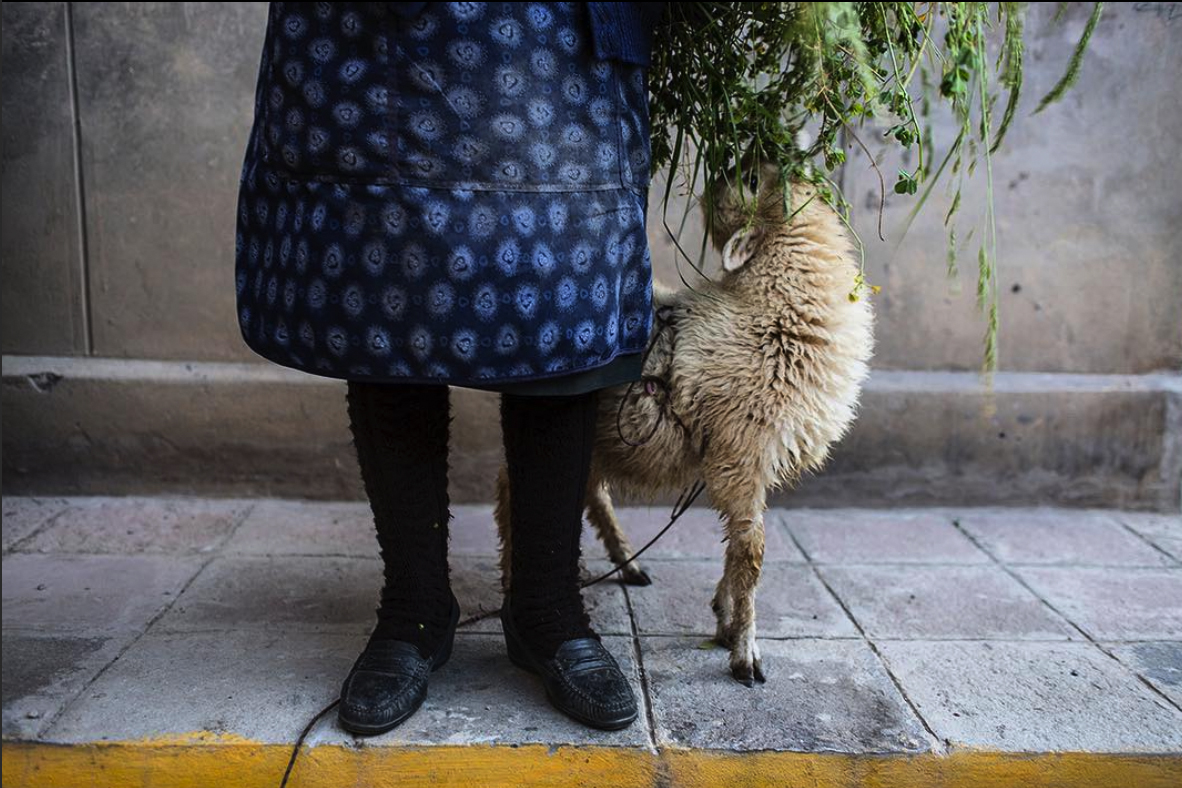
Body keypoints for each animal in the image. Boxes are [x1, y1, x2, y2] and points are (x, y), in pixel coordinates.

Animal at [494, 158, 874, 685]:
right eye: (751, 182)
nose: (732, 165)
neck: (771, 313)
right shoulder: (741, 454)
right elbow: (751, 554)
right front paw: (745, 650)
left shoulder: (743, 464)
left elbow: (738, 548)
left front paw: (725, 619)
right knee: (511, 492)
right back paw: (514, 580)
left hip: (601, 438)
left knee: (588, 491)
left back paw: (626, 563)